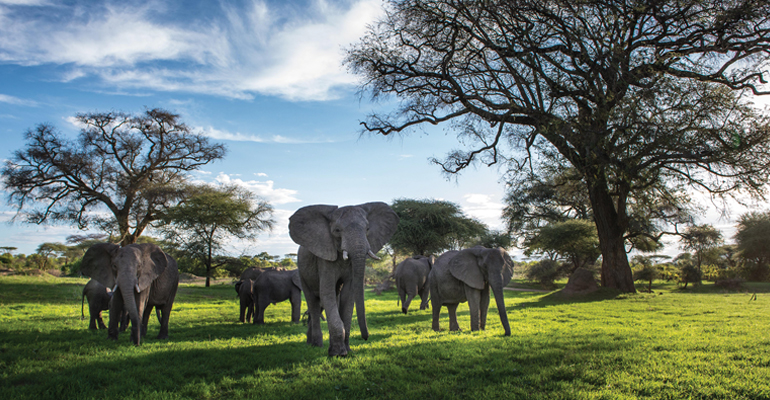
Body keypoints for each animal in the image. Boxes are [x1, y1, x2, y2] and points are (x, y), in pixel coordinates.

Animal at [286, 203, 396, 356]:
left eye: (367, 229)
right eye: (337, 230)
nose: (366, 337)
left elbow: (348, 295)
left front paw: (347, 350)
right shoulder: (324, 258)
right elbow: (327, 293)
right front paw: (338, 354)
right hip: (301, 272)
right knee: (313, 304)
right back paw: (316, 345)